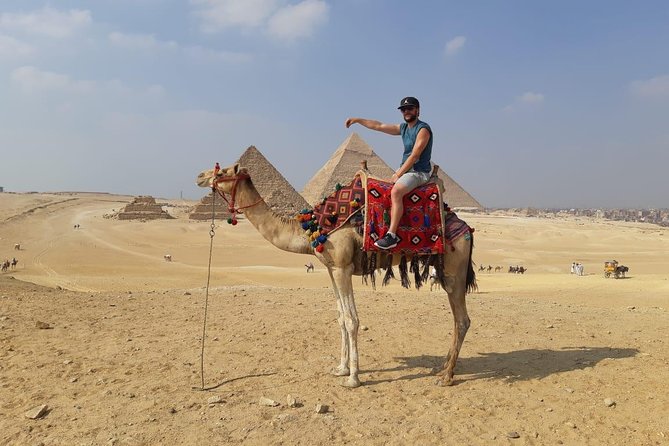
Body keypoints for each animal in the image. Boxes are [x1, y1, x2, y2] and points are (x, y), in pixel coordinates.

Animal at [196, 163, 477, 387]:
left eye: (221, 172)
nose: (199, 176)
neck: (312, 229)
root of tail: (467, 229)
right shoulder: (331, 269)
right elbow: (341, 317)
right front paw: (341, 368)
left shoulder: (343, 268)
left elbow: (352, 320)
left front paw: (353, 378)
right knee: (457, 320)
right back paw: (442, 368)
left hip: (454, 269)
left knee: (462, 320)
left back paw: (446, 376)